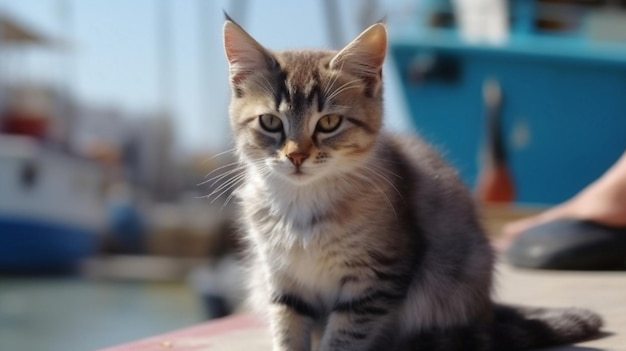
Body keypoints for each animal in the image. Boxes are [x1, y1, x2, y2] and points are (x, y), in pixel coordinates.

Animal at [218, 15, 600, 351]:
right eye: (270, 122)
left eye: (328, 122)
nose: (296, 156)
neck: (301, 204)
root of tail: (488, 309)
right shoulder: (282, 281)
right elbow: (288, 331)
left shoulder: (376, 279)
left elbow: (344, 337)